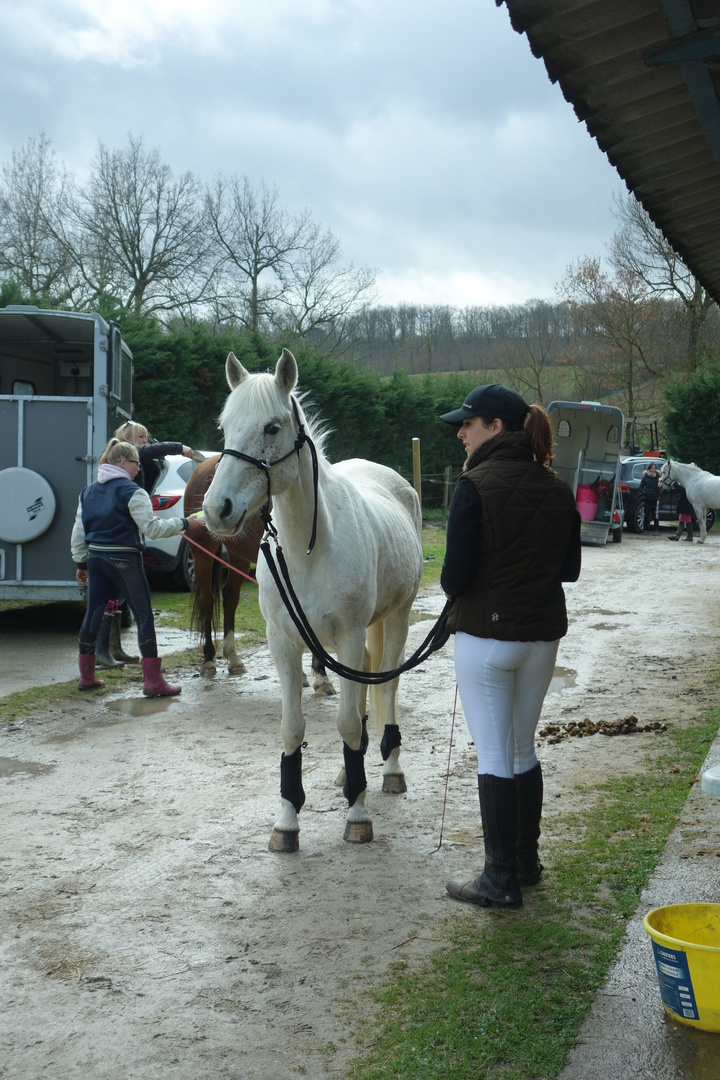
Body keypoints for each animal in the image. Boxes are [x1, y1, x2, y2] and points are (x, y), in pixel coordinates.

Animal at [199, 345, 425, 851]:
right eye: (224, 425)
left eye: (271, 427)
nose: (217, 509)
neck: (308, 547)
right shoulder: (284, 643)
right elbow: (294, 728)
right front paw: (287, 820)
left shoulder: (349, 636)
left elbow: (347, 721)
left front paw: (358, 815)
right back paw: (349, 774)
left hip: (396, 618)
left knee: (387, 685)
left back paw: (390, 769)